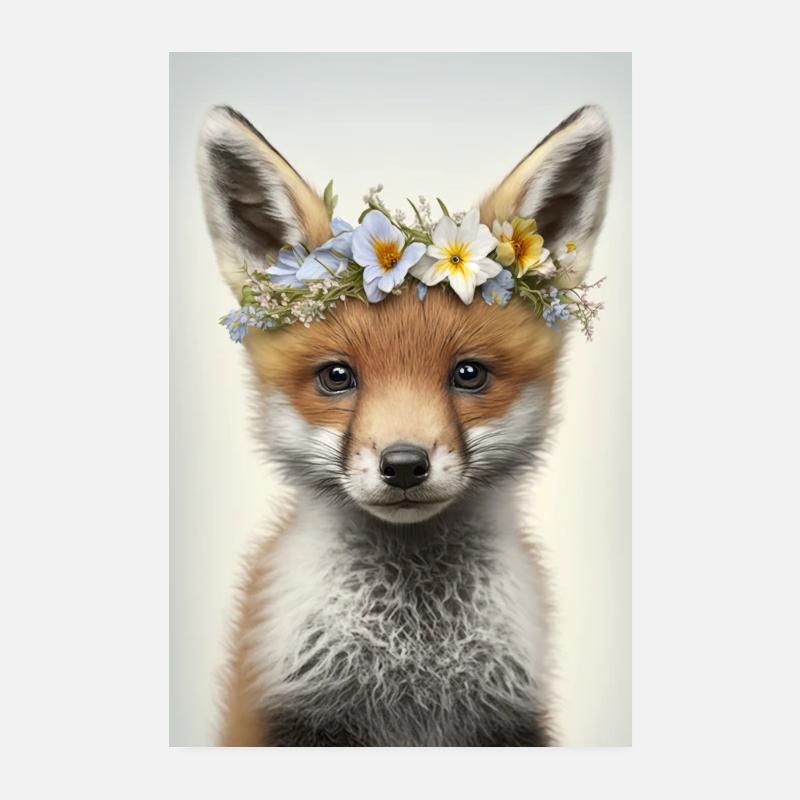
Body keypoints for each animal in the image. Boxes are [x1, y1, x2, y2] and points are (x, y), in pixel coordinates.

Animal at [197, 103, 611, 746]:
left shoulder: (508, 718)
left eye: (468, 374)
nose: (404, 465)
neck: (415, 652)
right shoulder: (298, 714)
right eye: (336, 377)